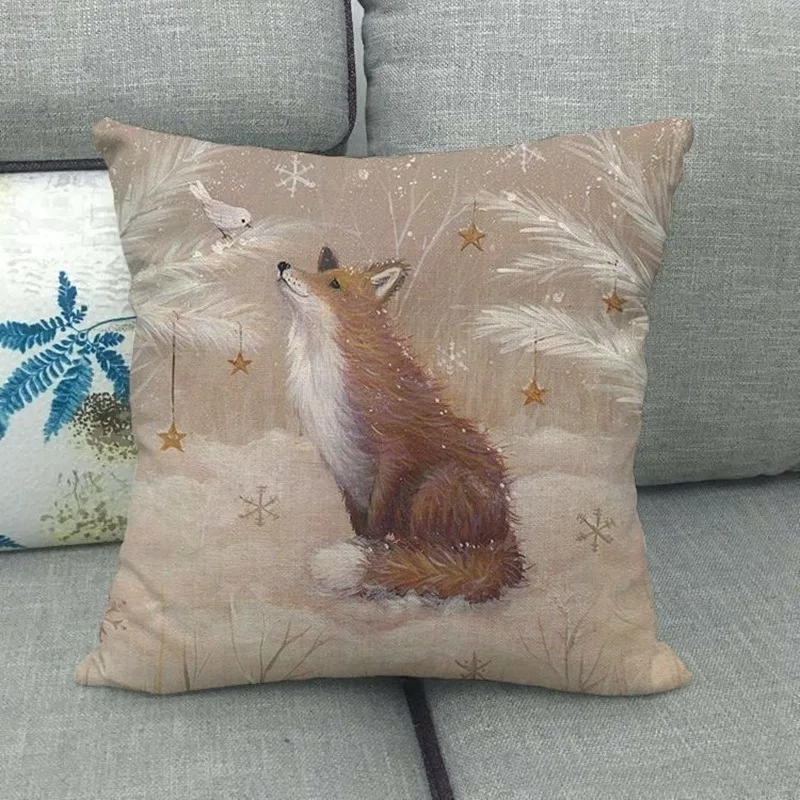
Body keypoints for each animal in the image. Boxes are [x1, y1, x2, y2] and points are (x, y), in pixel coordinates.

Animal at [276, 246, 526, 603]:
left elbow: (378, 520)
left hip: (440, 485)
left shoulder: (394, 453)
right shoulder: (342, 467)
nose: (283, 265)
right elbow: (361, 524)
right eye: (318, 273)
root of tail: (503, 537)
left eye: (334, 284)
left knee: (439, 552)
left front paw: (376, 562)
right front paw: (367, 553)